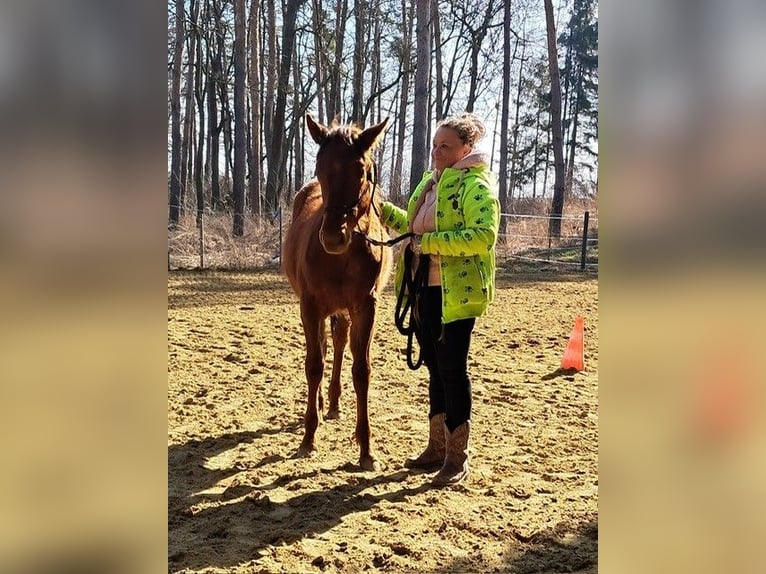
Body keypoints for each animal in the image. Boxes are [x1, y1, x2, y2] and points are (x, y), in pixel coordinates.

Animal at [282, 114, 393, 471]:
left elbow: (362, 370)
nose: (333, 237)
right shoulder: (310, 306)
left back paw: (332, 402)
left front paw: (366, 449)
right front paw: (308, 437)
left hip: (344, 311)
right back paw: (318, 404)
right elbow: (314, 363)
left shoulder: (365, 307)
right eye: (319, 167)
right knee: (321, 347)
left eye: (361, 170)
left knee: (340, 344)